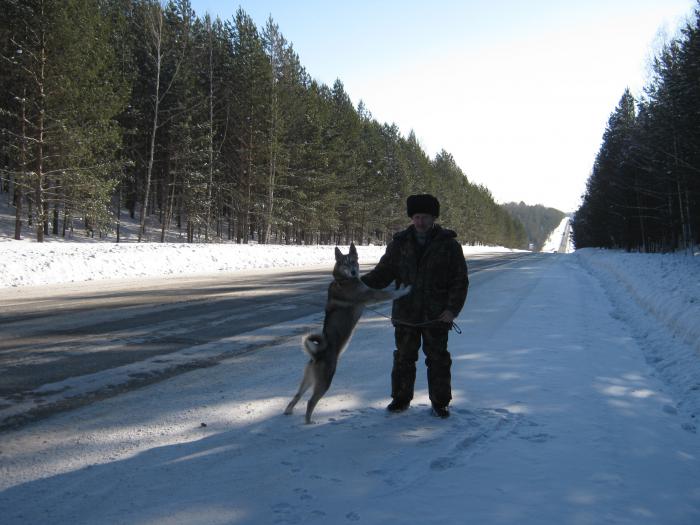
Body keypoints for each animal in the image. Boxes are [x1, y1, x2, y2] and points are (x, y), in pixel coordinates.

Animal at [286, 242, 410, 422]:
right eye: (345, 263)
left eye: (353, 261)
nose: (353, 272)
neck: (342, 279)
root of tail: (316, 355)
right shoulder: (372, 294)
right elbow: (390, 293)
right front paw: (405, 289)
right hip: (324, 382)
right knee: (310, 402)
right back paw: (309, 422)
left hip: (308, 380)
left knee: (296, 396)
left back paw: (288, 412)